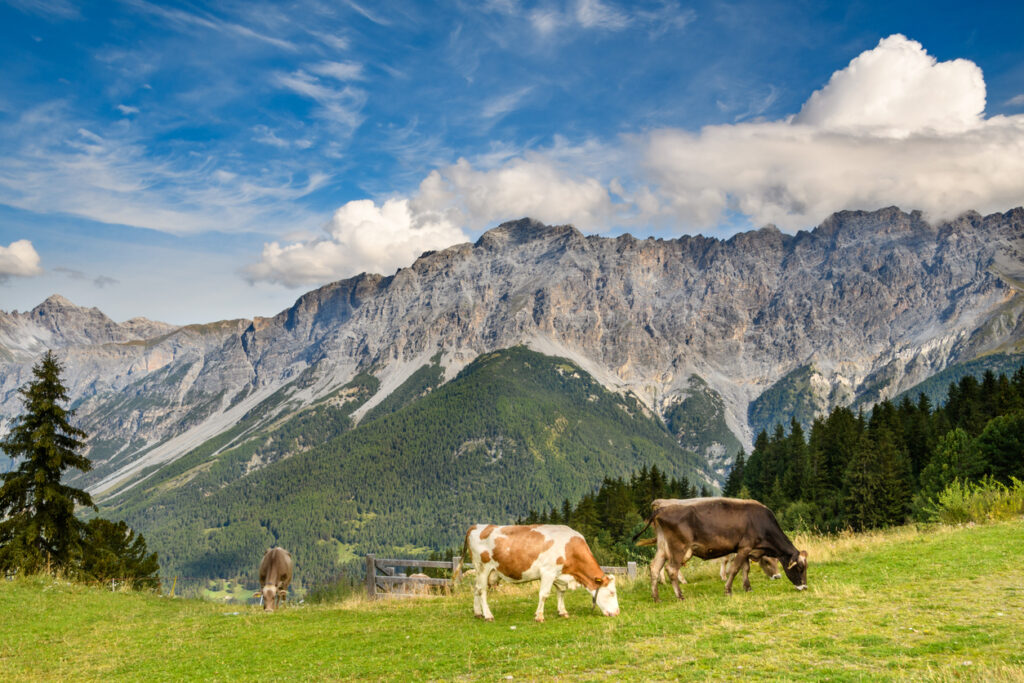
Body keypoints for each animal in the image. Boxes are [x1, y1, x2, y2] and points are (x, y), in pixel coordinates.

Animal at [462, 528, 618, 622]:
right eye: (611, 592)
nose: (617, 613)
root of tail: (477, 526)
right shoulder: (548, 572)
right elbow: (544, 594)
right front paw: (539, 616)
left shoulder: (559, 575)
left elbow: (561, 592)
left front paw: (562, 612)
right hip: (483, 568)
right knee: (482, 591)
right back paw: (488, 615)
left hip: (483, 572)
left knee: (476, 589)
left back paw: (478, 613)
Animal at [630, 497, 806, 602]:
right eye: (799, 568)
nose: (804, 587)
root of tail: (661, 509)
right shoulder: (744, 547)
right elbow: (735, 569)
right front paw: (728, 590)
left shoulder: (745, 549)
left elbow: (745, 569)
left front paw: (747, 588)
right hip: (679, 548)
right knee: (671, 569)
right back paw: (680, 596)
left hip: (662, 547)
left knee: (654, 567)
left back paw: (656, 597)